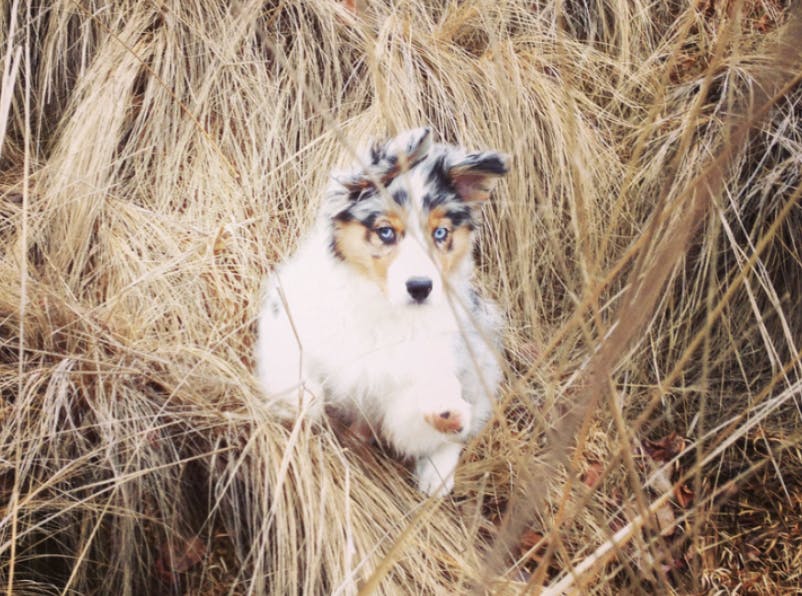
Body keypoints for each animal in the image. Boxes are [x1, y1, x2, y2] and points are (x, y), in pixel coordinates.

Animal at [256, 128, 506, 496]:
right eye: (386, 232)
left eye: (440, 233)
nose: (420, 287)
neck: (380, 306)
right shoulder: (287, 309)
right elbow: (292, 364)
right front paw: (301, 401)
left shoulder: (409, 379)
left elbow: (412, 421)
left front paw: (443, 411)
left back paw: (437, 472)